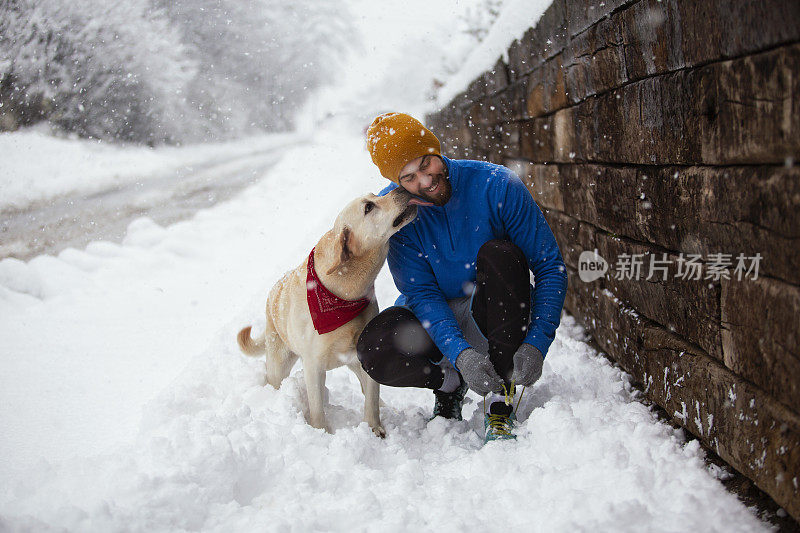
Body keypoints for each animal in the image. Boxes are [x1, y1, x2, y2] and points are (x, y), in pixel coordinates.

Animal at [236, 185, 428, 434]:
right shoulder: (313, 365)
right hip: (278, 365)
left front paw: (374, 429)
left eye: (375, 195)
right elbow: (317, 409)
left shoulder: (366, 354)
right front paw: (320, 433)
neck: (344, 293)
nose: (401, 188)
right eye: (368, 207)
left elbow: (372, 398)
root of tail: (273, 293)